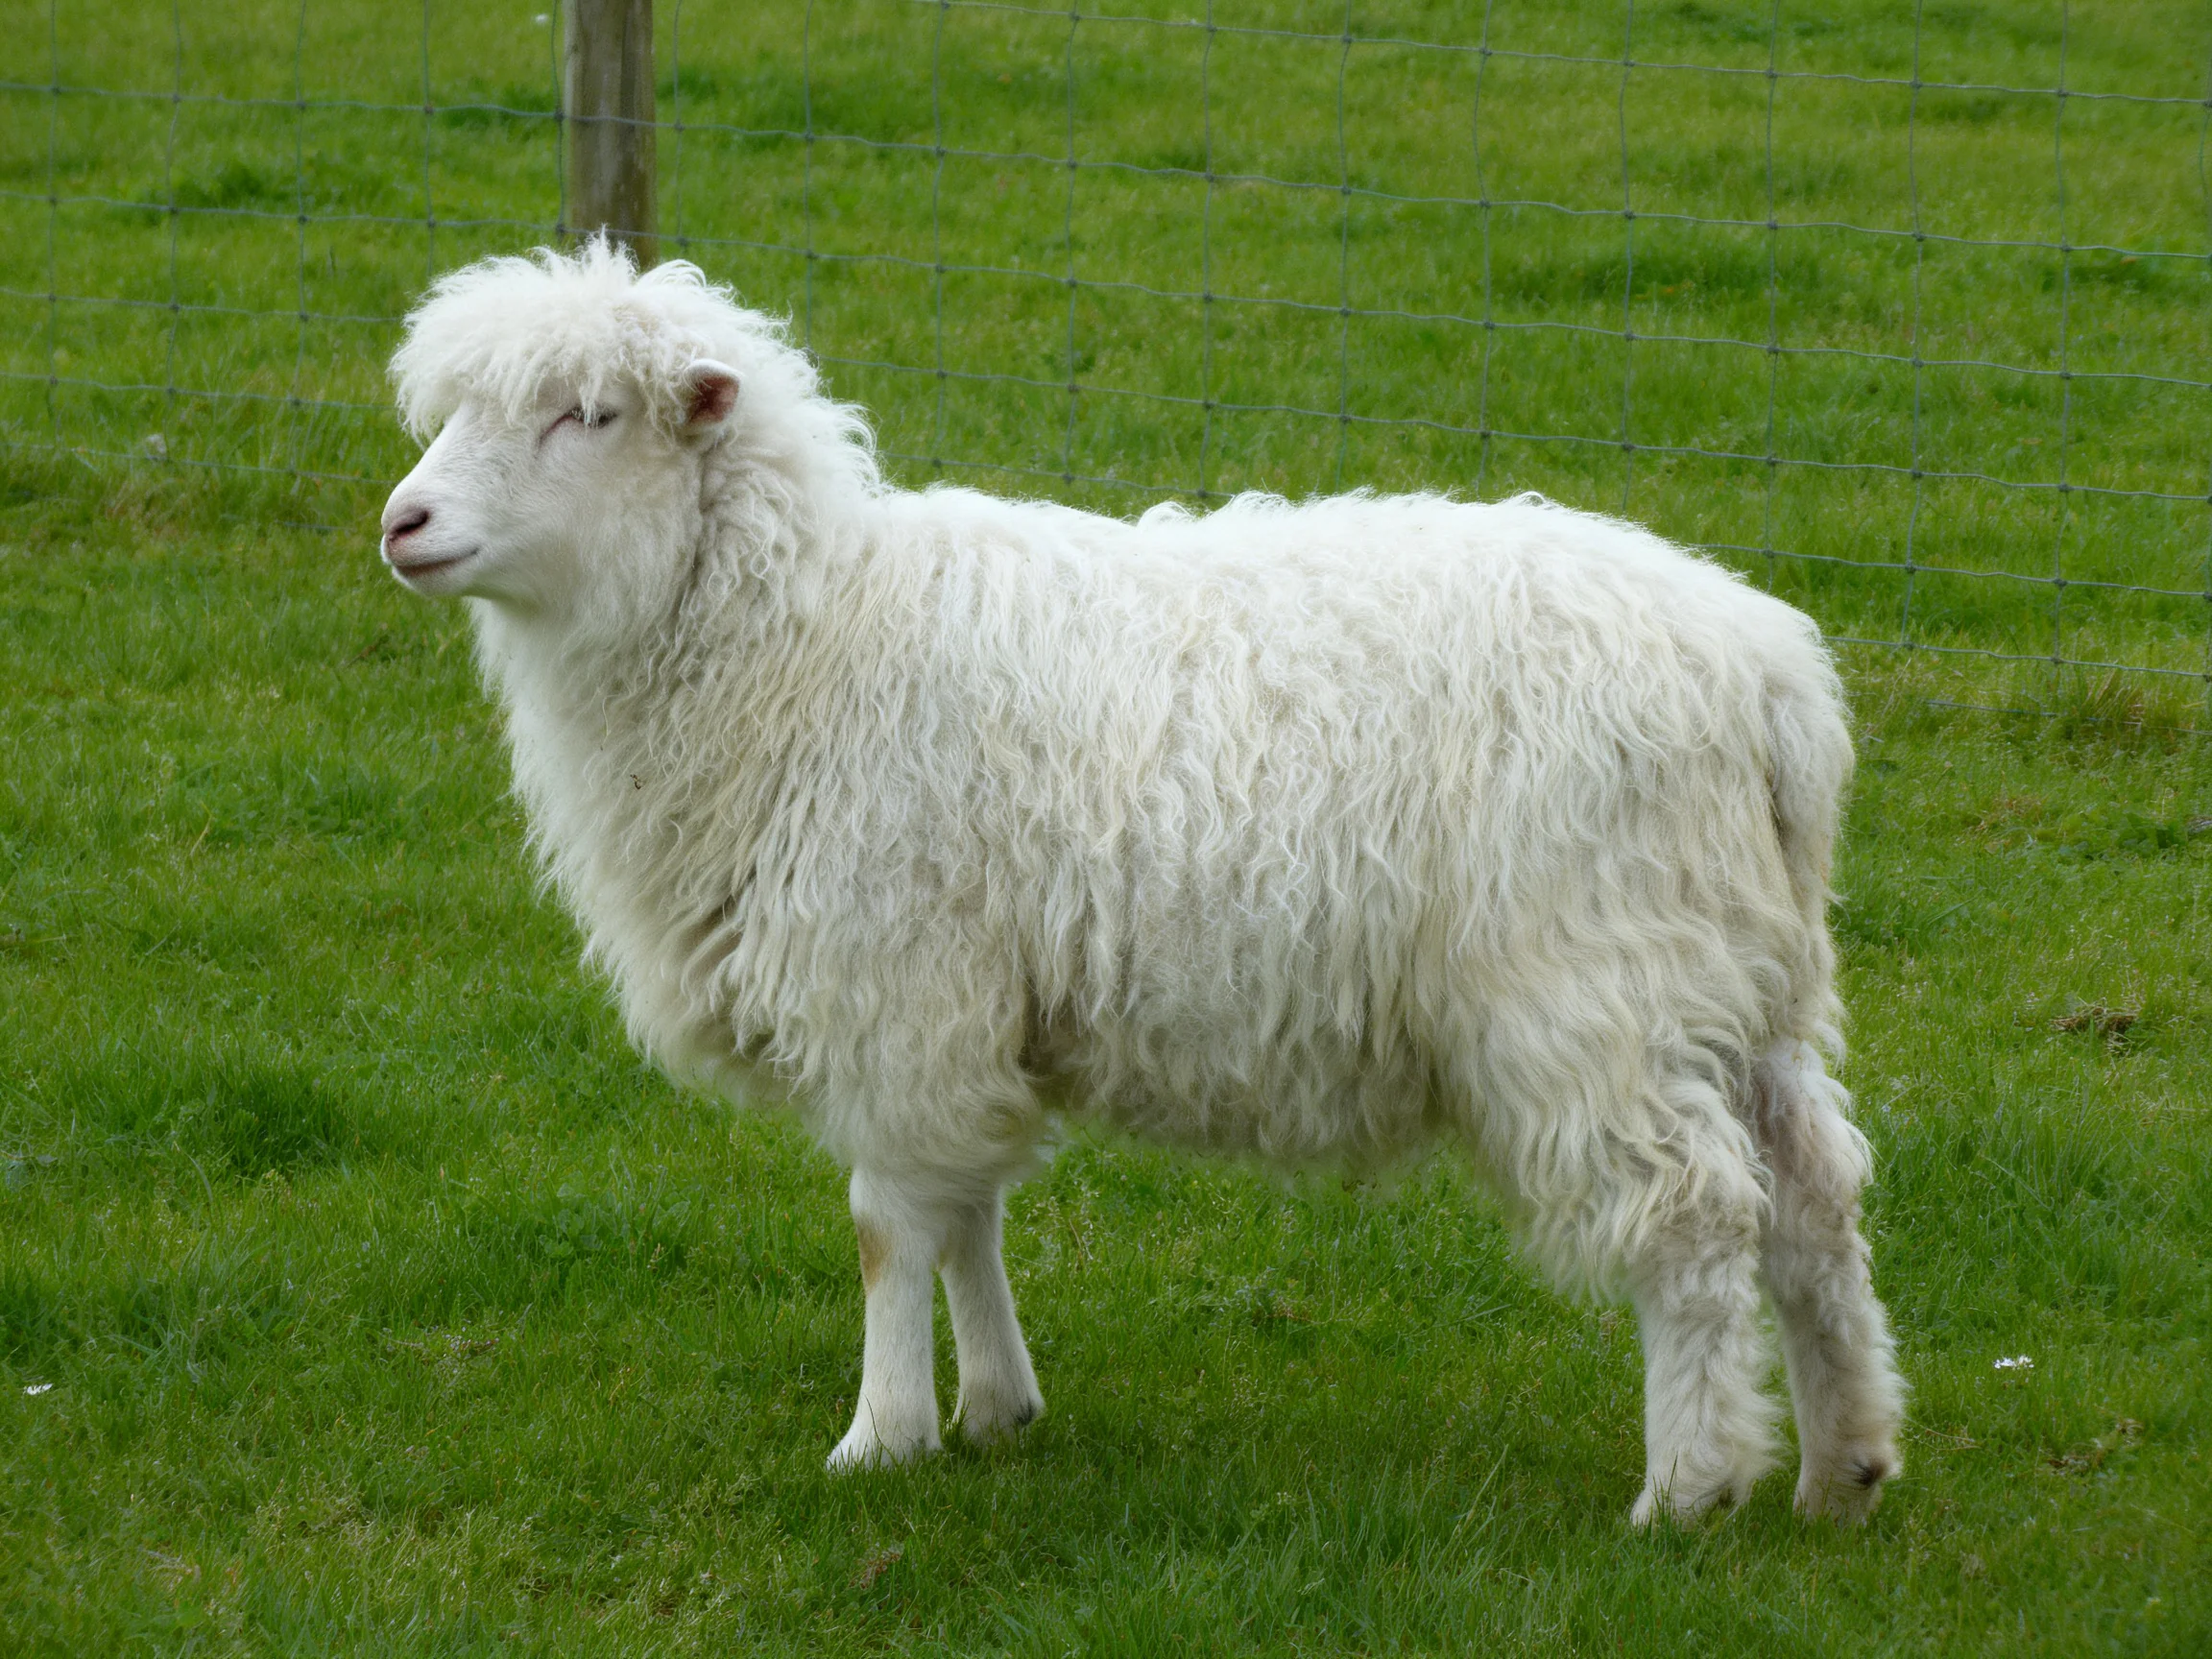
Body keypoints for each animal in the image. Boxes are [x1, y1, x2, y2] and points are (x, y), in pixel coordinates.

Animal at [377, 241, 1905, 1524]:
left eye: (588, 415)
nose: (404, 523)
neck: (803, 642)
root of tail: (1771, 679)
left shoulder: (898, 987)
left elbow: (888, 1231)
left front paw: (881, 1439)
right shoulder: (970, 1013)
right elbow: (970, 1209)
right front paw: (997, 1408)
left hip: (1597, 985)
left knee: (1697, 1223)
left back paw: (1689, 1490)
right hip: (1741, 982)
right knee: (1815, 1207)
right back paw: (1843, 1464)